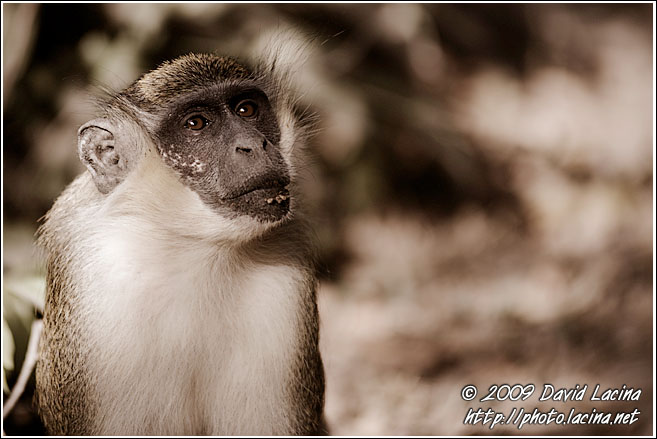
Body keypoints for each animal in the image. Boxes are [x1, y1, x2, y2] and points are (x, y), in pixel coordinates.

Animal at [33, 51, 326, 436]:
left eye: (246, 109)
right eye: (197, 123)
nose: (255, 144)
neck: (195, 248)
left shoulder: (286, 276)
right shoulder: (99, 281)